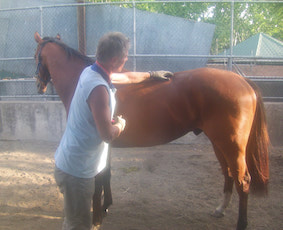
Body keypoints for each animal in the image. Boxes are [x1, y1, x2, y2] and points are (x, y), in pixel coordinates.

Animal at [34, 32, 270, 230]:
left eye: (36, 56)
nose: (39, 86)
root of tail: (242, 81)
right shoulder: (106, 143)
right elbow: (107, 174)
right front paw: (107, 205)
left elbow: (99, 179)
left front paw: (97, 217)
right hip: (219, 143)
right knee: (228, 174)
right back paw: (220, 209)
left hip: (232, 145)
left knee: (243, 180)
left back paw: (241, 223)